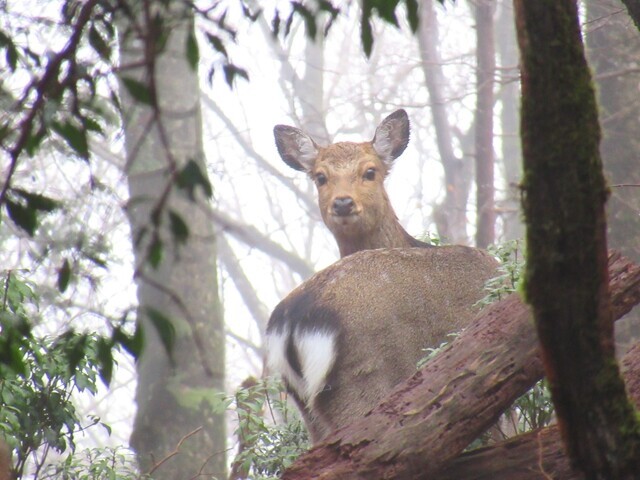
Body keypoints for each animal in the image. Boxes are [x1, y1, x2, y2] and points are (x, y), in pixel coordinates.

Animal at [264, 109, 500, 442]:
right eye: (321, 177)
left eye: (370, 171)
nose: (343, 202)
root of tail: (291, 325)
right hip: (364, 379)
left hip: (307, 408)